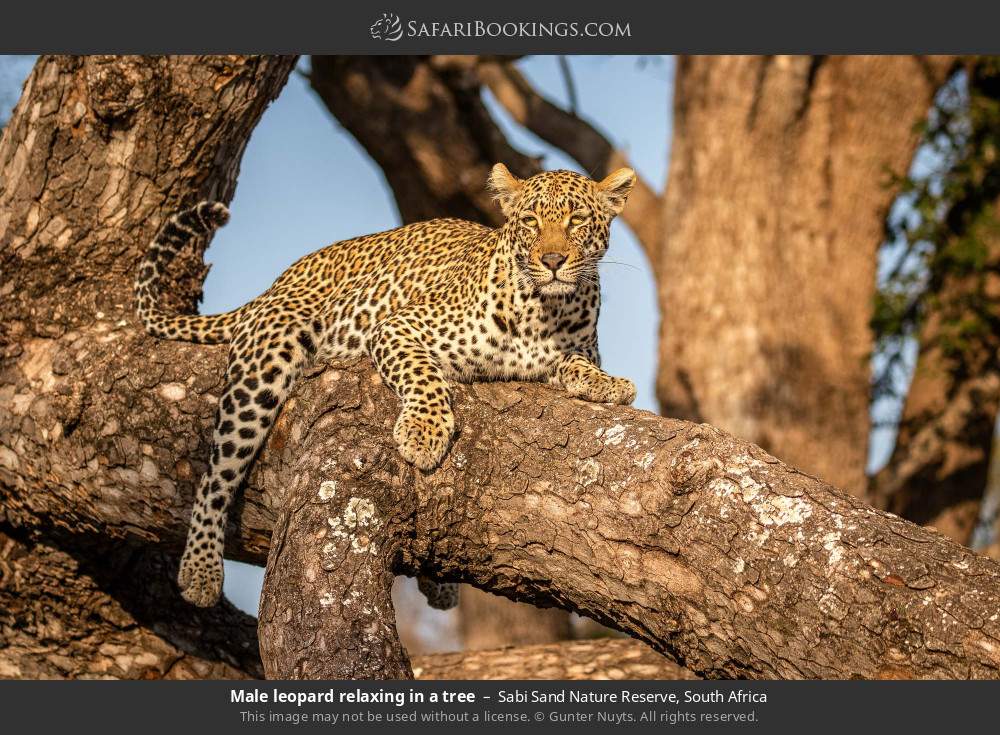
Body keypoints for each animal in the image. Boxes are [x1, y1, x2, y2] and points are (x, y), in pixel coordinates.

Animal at [135, 163, 638, 609]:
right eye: (531, 221)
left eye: (576, 220)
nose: (552, 262)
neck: (545, 312)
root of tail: (278, 282)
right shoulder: (398, 326)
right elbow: (424, 376)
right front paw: (424, 433)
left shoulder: (571, 350)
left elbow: (577, 364)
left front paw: (609, 384)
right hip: (265, 365)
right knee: (215, 474)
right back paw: (200, 570)